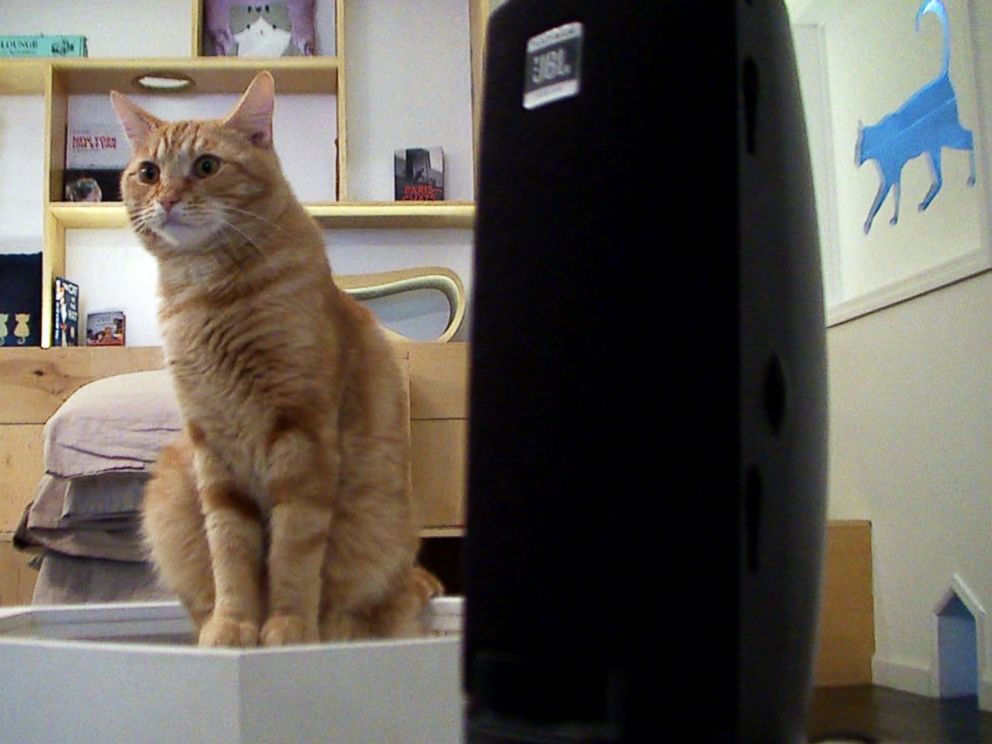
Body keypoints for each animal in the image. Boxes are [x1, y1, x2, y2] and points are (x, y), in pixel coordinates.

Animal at [109, 72, 442, 648]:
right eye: (148, 173)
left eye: (207, 166)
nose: (168, 199)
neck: (205, 293)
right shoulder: (212, 449)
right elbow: (230, 554)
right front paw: (233, 626)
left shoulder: (301, 435)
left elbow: (293, 552)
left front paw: (288, 627)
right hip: (170, 486)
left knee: (371, 608)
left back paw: (334, 627)